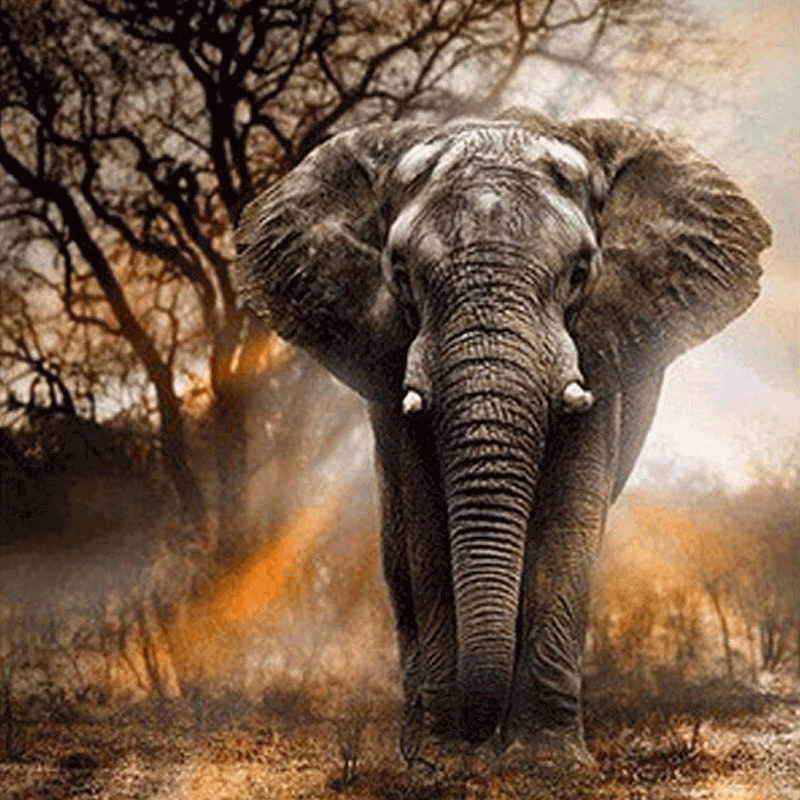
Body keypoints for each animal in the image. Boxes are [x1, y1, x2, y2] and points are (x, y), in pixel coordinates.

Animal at [233, 109, 770, 768]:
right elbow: (429, 529)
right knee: (397, 554)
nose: (472, 732)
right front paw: (444, 763)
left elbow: (568, 522)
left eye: (579, 273)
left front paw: (546, 765)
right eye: (401, 275)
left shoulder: (599, 349)